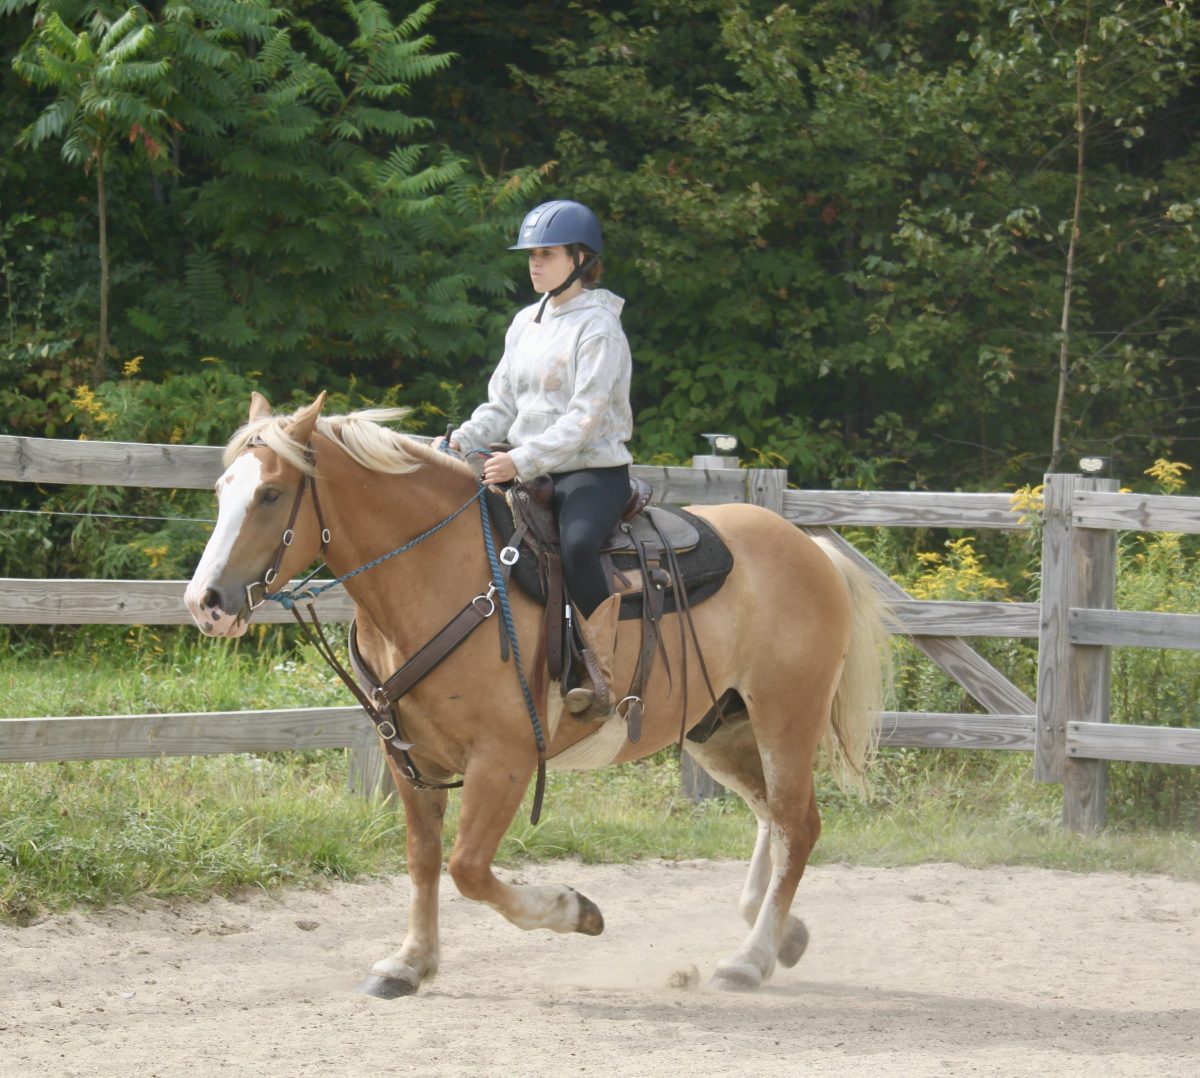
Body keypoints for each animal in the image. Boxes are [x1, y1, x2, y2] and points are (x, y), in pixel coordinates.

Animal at [184, 392, 890, 996]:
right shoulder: (409, 758)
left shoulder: (505, 758)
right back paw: (780, 935)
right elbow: (423, 859)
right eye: (222, 490)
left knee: (798, 824)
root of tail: (812, 549)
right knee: (773, 817)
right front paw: (410, 963)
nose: (205, 603)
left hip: (785, 718)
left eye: (271, 493)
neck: (441, 573)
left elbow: (467, 868)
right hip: (718, 727)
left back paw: (751, 958)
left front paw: (574, 910)